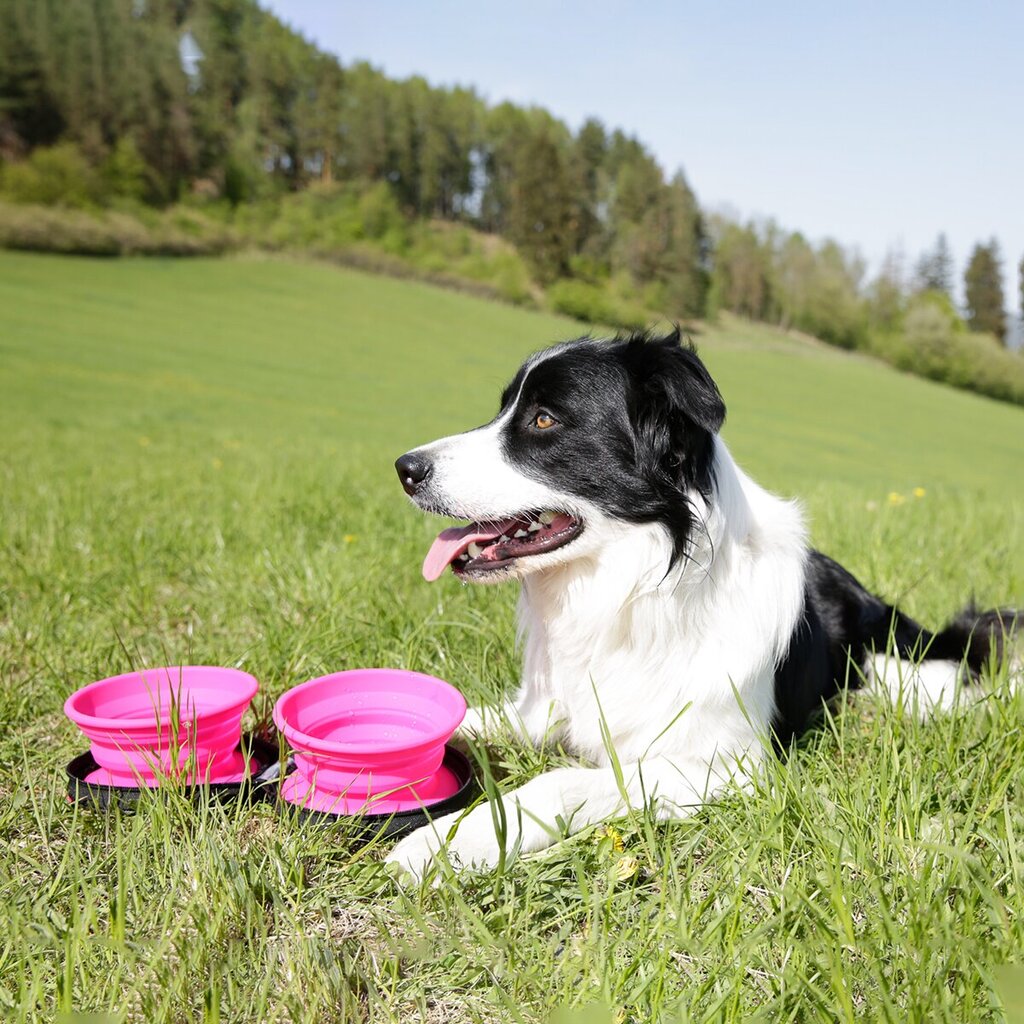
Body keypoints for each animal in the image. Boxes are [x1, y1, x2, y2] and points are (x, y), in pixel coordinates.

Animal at [385, 327, 1015, 880]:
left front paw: (445, 845)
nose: (405, 468)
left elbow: (561, 780)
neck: (630, 593)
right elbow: (467, 717)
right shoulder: (541, 711)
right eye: (504, 409)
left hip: (903, 674)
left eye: (544, 419)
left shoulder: (725, 766)